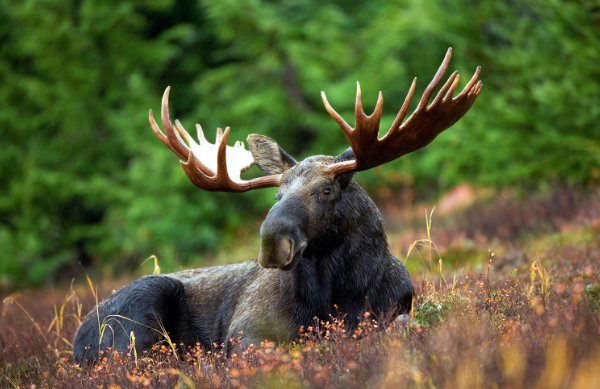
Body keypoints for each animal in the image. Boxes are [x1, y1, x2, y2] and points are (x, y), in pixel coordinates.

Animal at [72, 49, 480, 364]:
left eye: (326, 190)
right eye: (276, 195)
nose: (272, 242)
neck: (340, 295)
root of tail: (76, 342)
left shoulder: (397, 310)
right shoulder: (245, 332)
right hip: (140, 312)